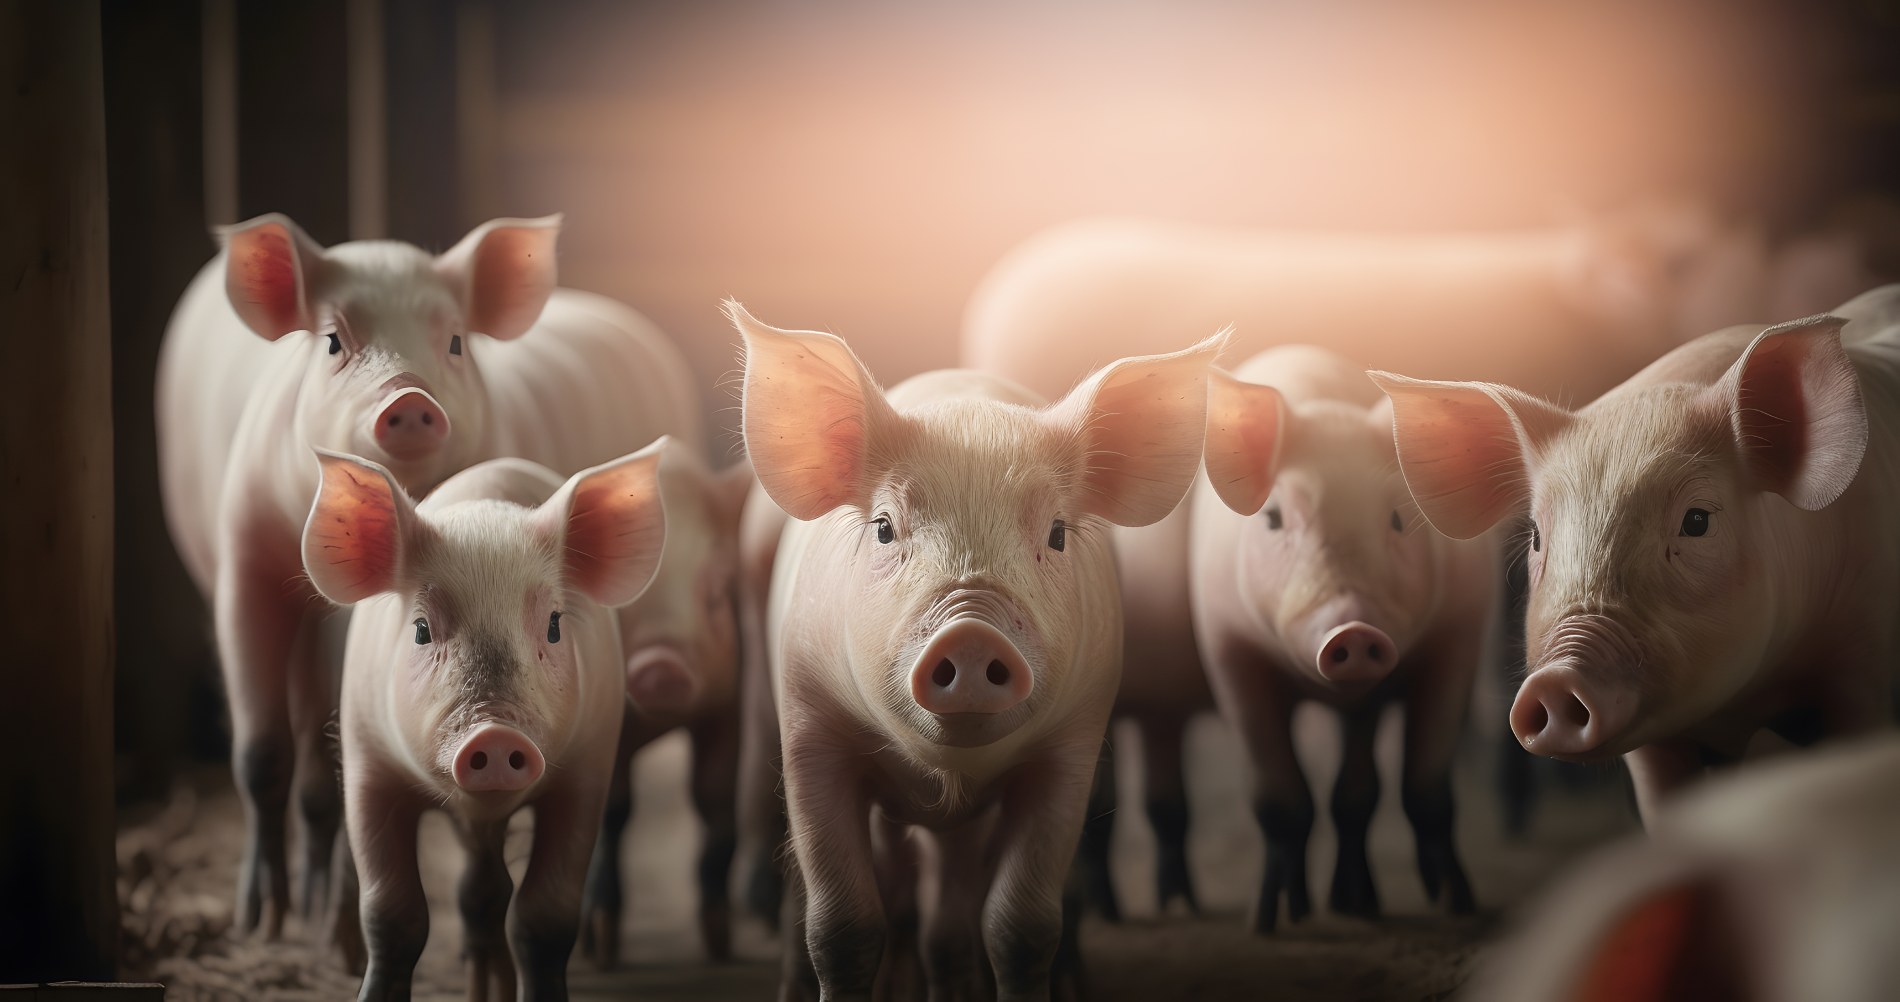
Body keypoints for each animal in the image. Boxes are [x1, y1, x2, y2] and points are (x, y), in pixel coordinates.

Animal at [154, 213, 701, 937]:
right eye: (333, 340)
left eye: (455, 341)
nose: (410, 398)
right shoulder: (244, 555)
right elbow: (261, 749)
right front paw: (260, 923)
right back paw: (308, 914)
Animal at [303, 444, 669, 1001]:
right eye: (421, 630)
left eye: (555, 626)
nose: (494, 735)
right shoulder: (369, 763)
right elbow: (390, 914)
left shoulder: (588, 771)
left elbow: (545, 916)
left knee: (488, 890)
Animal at [578, 450, 755, 969]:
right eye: (620, 600)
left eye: (718, 589)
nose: (661, 664)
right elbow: (613, 812)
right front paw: (603, 950)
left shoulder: (728, 707)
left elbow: (714, 797)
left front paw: (719, 944)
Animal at [732, 299, 1220, 1000]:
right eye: (885, 527)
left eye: (1057, 533)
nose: (969, 631)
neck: (947, 774)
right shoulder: (810, 727)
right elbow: (842, 927)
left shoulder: (1071, 746)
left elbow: (1020, 927)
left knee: (946, 920)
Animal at [1190, 346, 1498, 933]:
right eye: (1273, 518)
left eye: (1399, 520)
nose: (1352, 628)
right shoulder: (1228, 649)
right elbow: (1278, 798)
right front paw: (1268, 922)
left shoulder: (1458, 638)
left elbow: (1426, 787)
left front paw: (1459, 905)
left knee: (1356, 793)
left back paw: (1360, 905)